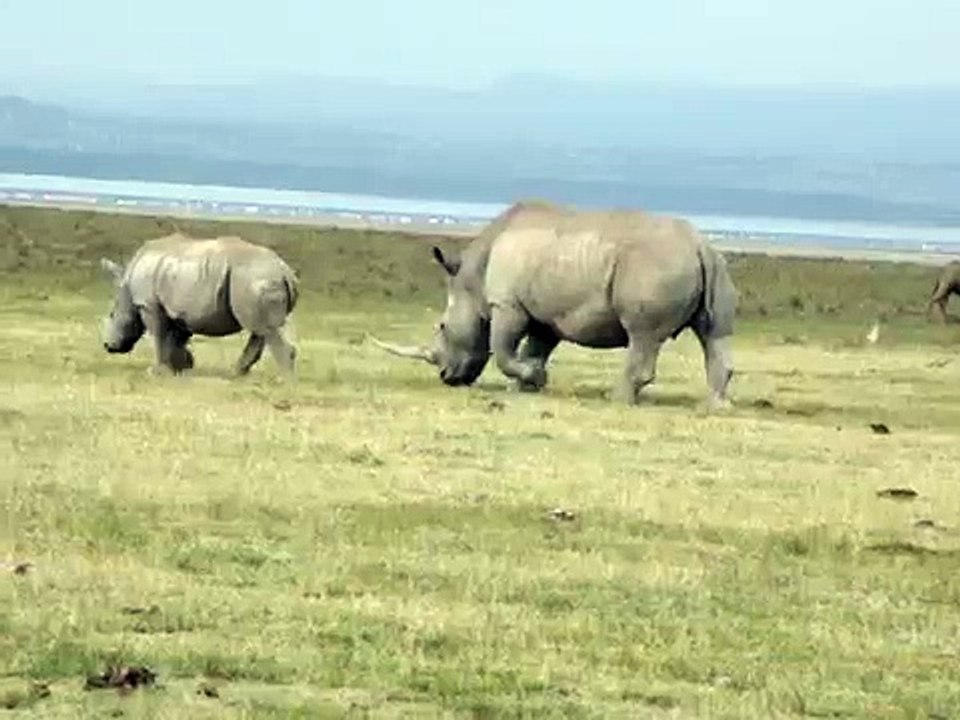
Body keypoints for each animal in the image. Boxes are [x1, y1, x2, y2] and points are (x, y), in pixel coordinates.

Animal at [99, 232, 299, 375]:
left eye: (111, 315)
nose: (108, 346)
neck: (127, 283)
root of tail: (285, 271)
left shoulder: (149, 305)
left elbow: (158, 335)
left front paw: (157, 371)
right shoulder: (181, 310)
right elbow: (176, 338)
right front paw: (184, 366)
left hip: (253, 278)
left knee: (263, 328)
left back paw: (284, 379)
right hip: (255, 278)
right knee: (261, 329)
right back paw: (237, 374)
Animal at [370, 200, 738, 408]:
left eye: (443, 327)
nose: (447, 377)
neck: (470, 279)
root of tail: (699, 245)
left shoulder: (507, 305)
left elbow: (503, 350)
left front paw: (531, 378)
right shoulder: (545, 315)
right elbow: (536, 347)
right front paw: (526, 384)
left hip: (653, 265)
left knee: (642, 335)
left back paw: (617, 400)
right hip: (716, 268)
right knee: (715, 333)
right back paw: (715, 407)